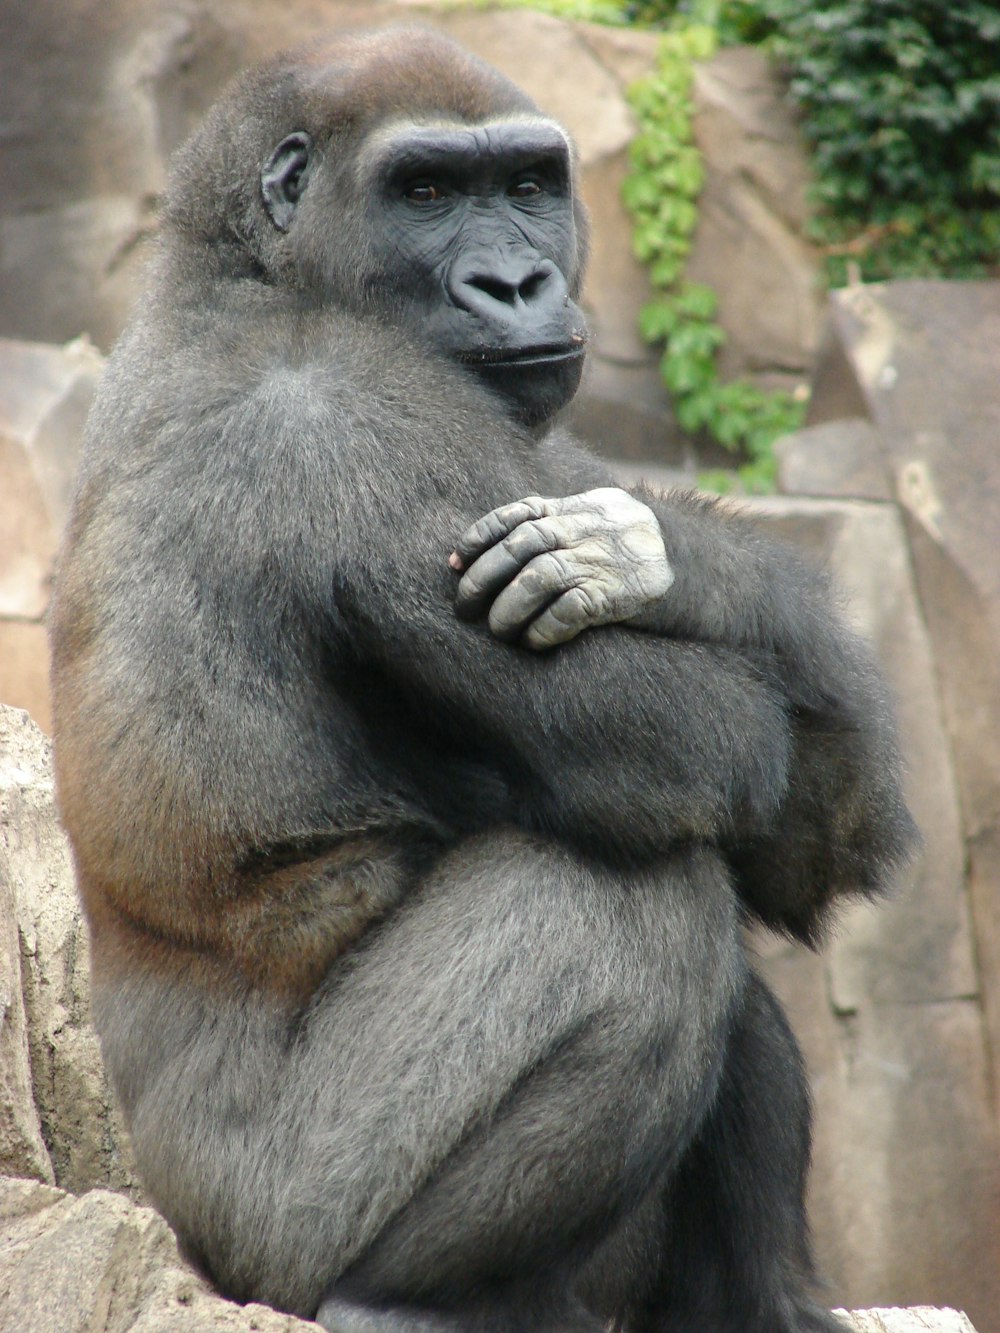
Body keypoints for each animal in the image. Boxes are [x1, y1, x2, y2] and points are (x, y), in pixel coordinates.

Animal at [51, 23, 922, 1333]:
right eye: (424, 193)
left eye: (524, 184)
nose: (515, 284)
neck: (240, 274)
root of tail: (177, 1227)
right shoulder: (351, 418)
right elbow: (697, 745)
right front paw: (651, 561)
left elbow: (815, 828)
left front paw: (658, 552)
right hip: (271, 1226)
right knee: (634, 897)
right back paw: (411, 1297)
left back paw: (757, 1298)